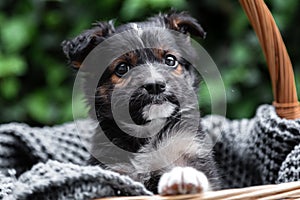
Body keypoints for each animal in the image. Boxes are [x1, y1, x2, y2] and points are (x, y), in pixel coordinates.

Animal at [61, 11, 220, 195]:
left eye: (170, 60)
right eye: (122, 68)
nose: (155, 85)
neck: (148, 131)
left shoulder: (189, 148)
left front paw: (183, 176)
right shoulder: (114, 167)